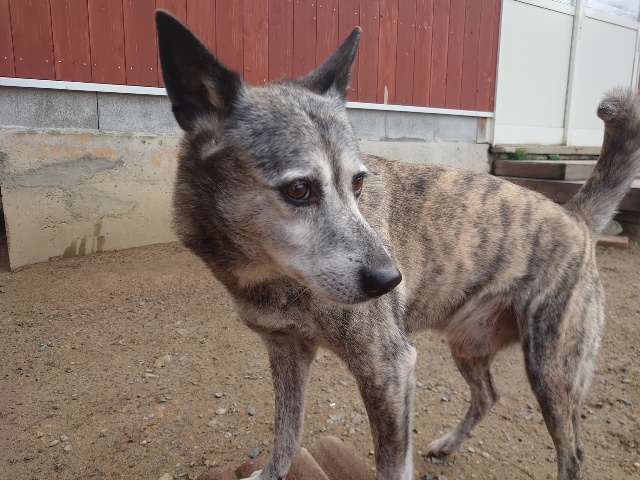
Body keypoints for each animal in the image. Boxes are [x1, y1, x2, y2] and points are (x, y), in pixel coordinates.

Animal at [156, 10, 640, 480]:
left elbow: (391, 463)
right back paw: (448, 444)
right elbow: (286, 435)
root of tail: (576, 217)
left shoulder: (389, 367)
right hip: (469, 344)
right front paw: (269, 474)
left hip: (551, 368)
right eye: (298, 190)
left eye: (358, 182)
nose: (391, 280)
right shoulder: (286, 351)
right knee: (488, 395)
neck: (269, 276)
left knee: (572, 452)